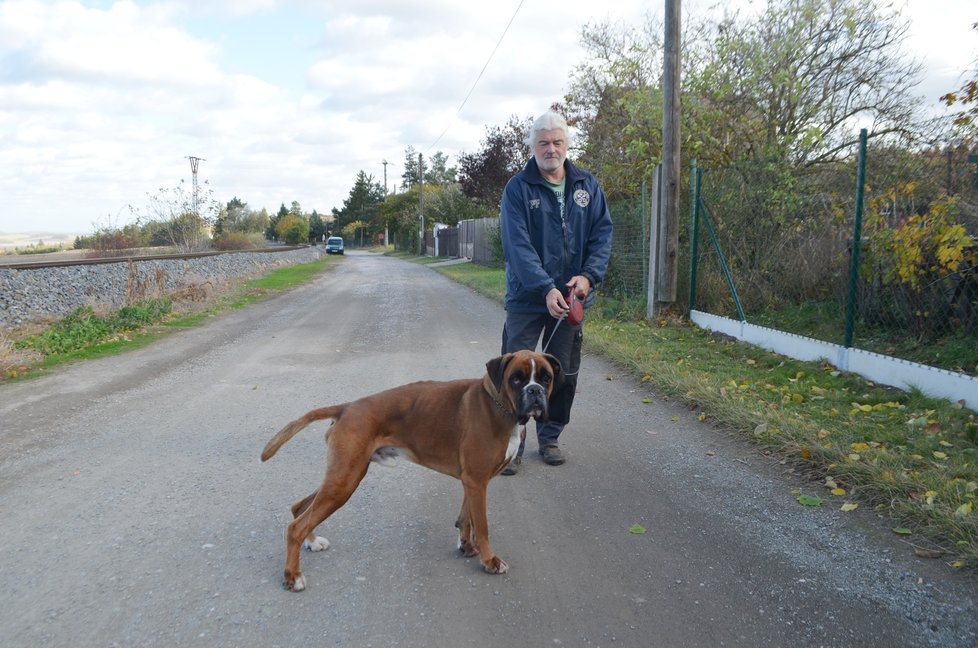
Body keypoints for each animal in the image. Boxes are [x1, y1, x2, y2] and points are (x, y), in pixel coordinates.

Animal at [264, 350, 560, 592]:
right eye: (516, 379)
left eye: (545, 378)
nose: (535, 391)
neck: (498, 404)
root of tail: (347, 407)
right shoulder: (477, 482)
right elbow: (483, 526)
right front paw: (490, 560)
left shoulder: (472, 482)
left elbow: (466, 517)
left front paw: (466, 546)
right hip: (344, 481)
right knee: (296, 526)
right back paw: (292, 576)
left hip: (342, 475)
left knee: (300, 507)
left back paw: (312, 542)